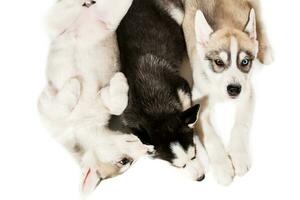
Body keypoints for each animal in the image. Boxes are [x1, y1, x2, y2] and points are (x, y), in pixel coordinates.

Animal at [37, 0, 151, 194]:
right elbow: (61, 108)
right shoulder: (45, 110)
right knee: (61, 11)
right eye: (125, 161)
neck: (79, 126)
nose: (146, 146)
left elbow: (118, 104)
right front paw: (74, 86)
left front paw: (118, 83)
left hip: (111, 17)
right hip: (56, 26)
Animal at [117, 0, 206, 181]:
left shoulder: (182, 86)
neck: (155, 112)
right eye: (180, 166)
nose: (201, 178)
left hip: (178, 15)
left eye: (194, 155)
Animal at [182, 0, 274, 185]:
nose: (233, 89)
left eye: (245, 62)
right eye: (218, 62)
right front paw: (222, 166)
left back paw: (264, 49)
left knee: (259, 23)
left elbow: (241, 124)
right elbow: (210, 135)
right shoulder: (198, 102)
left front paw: (239, 157)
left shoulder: (247, 92)